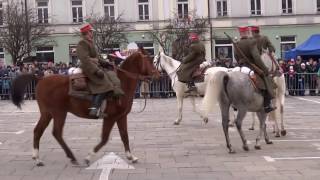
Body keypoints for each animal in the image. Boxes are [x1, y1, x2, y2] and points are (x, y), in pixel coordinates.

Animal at [10, 52, 160, 166]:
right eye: (149, 60)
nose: (158, 74)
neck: (121, 83)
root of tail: (40, 78)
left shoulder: (121, 117)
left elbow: (124, 136)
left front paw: (131, 157)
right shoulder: (110, 118)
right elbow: (104, 138)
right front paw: (88, 157)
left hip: (48, 114)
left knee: (38, 131)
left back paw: (38, 158)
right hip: (58, 113)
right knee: (56, 133)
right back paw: (70, 157)